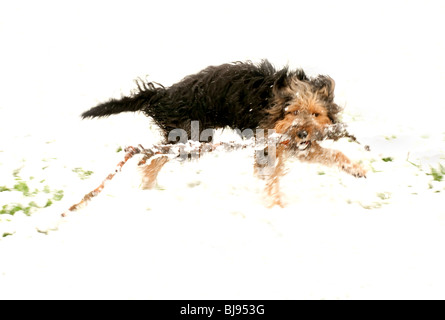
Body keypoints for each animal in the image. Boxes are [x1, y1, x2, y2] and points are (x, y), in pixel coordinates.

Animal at [81, 59, 366, 205]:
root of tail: (164, 94)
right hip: (192, 139)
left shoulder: (290, 145)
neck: (276, 101)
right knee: (152, 157)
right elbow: (273, 175)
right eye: (293, 112)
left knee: (149, 155)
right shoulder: (271, 139)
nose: (303, 133)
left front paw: (356, 168)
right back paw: (147, 185)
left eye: (316, 114)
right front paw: (275, 203)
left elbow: (330, 154)